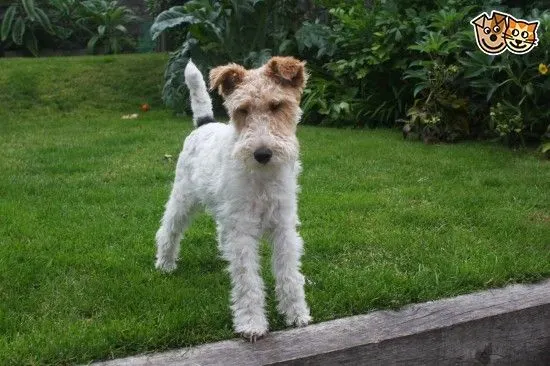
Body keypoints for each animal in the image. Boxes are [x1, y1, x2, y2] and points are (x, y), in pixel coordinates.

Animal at [155, 56, 312, 340]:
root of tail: (205, 123)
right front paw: (251, 323)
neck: (262, 177)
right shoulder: (242, 229)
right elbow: (248, 279)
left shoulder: (283, 226)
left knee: (219, 228)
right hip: (183, 198)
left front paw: (296, 314)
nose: (262, 154)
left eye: (276, 105)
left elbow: (288, 274)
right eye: (243, 109)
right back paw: (165, 264)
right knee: (168, 230)